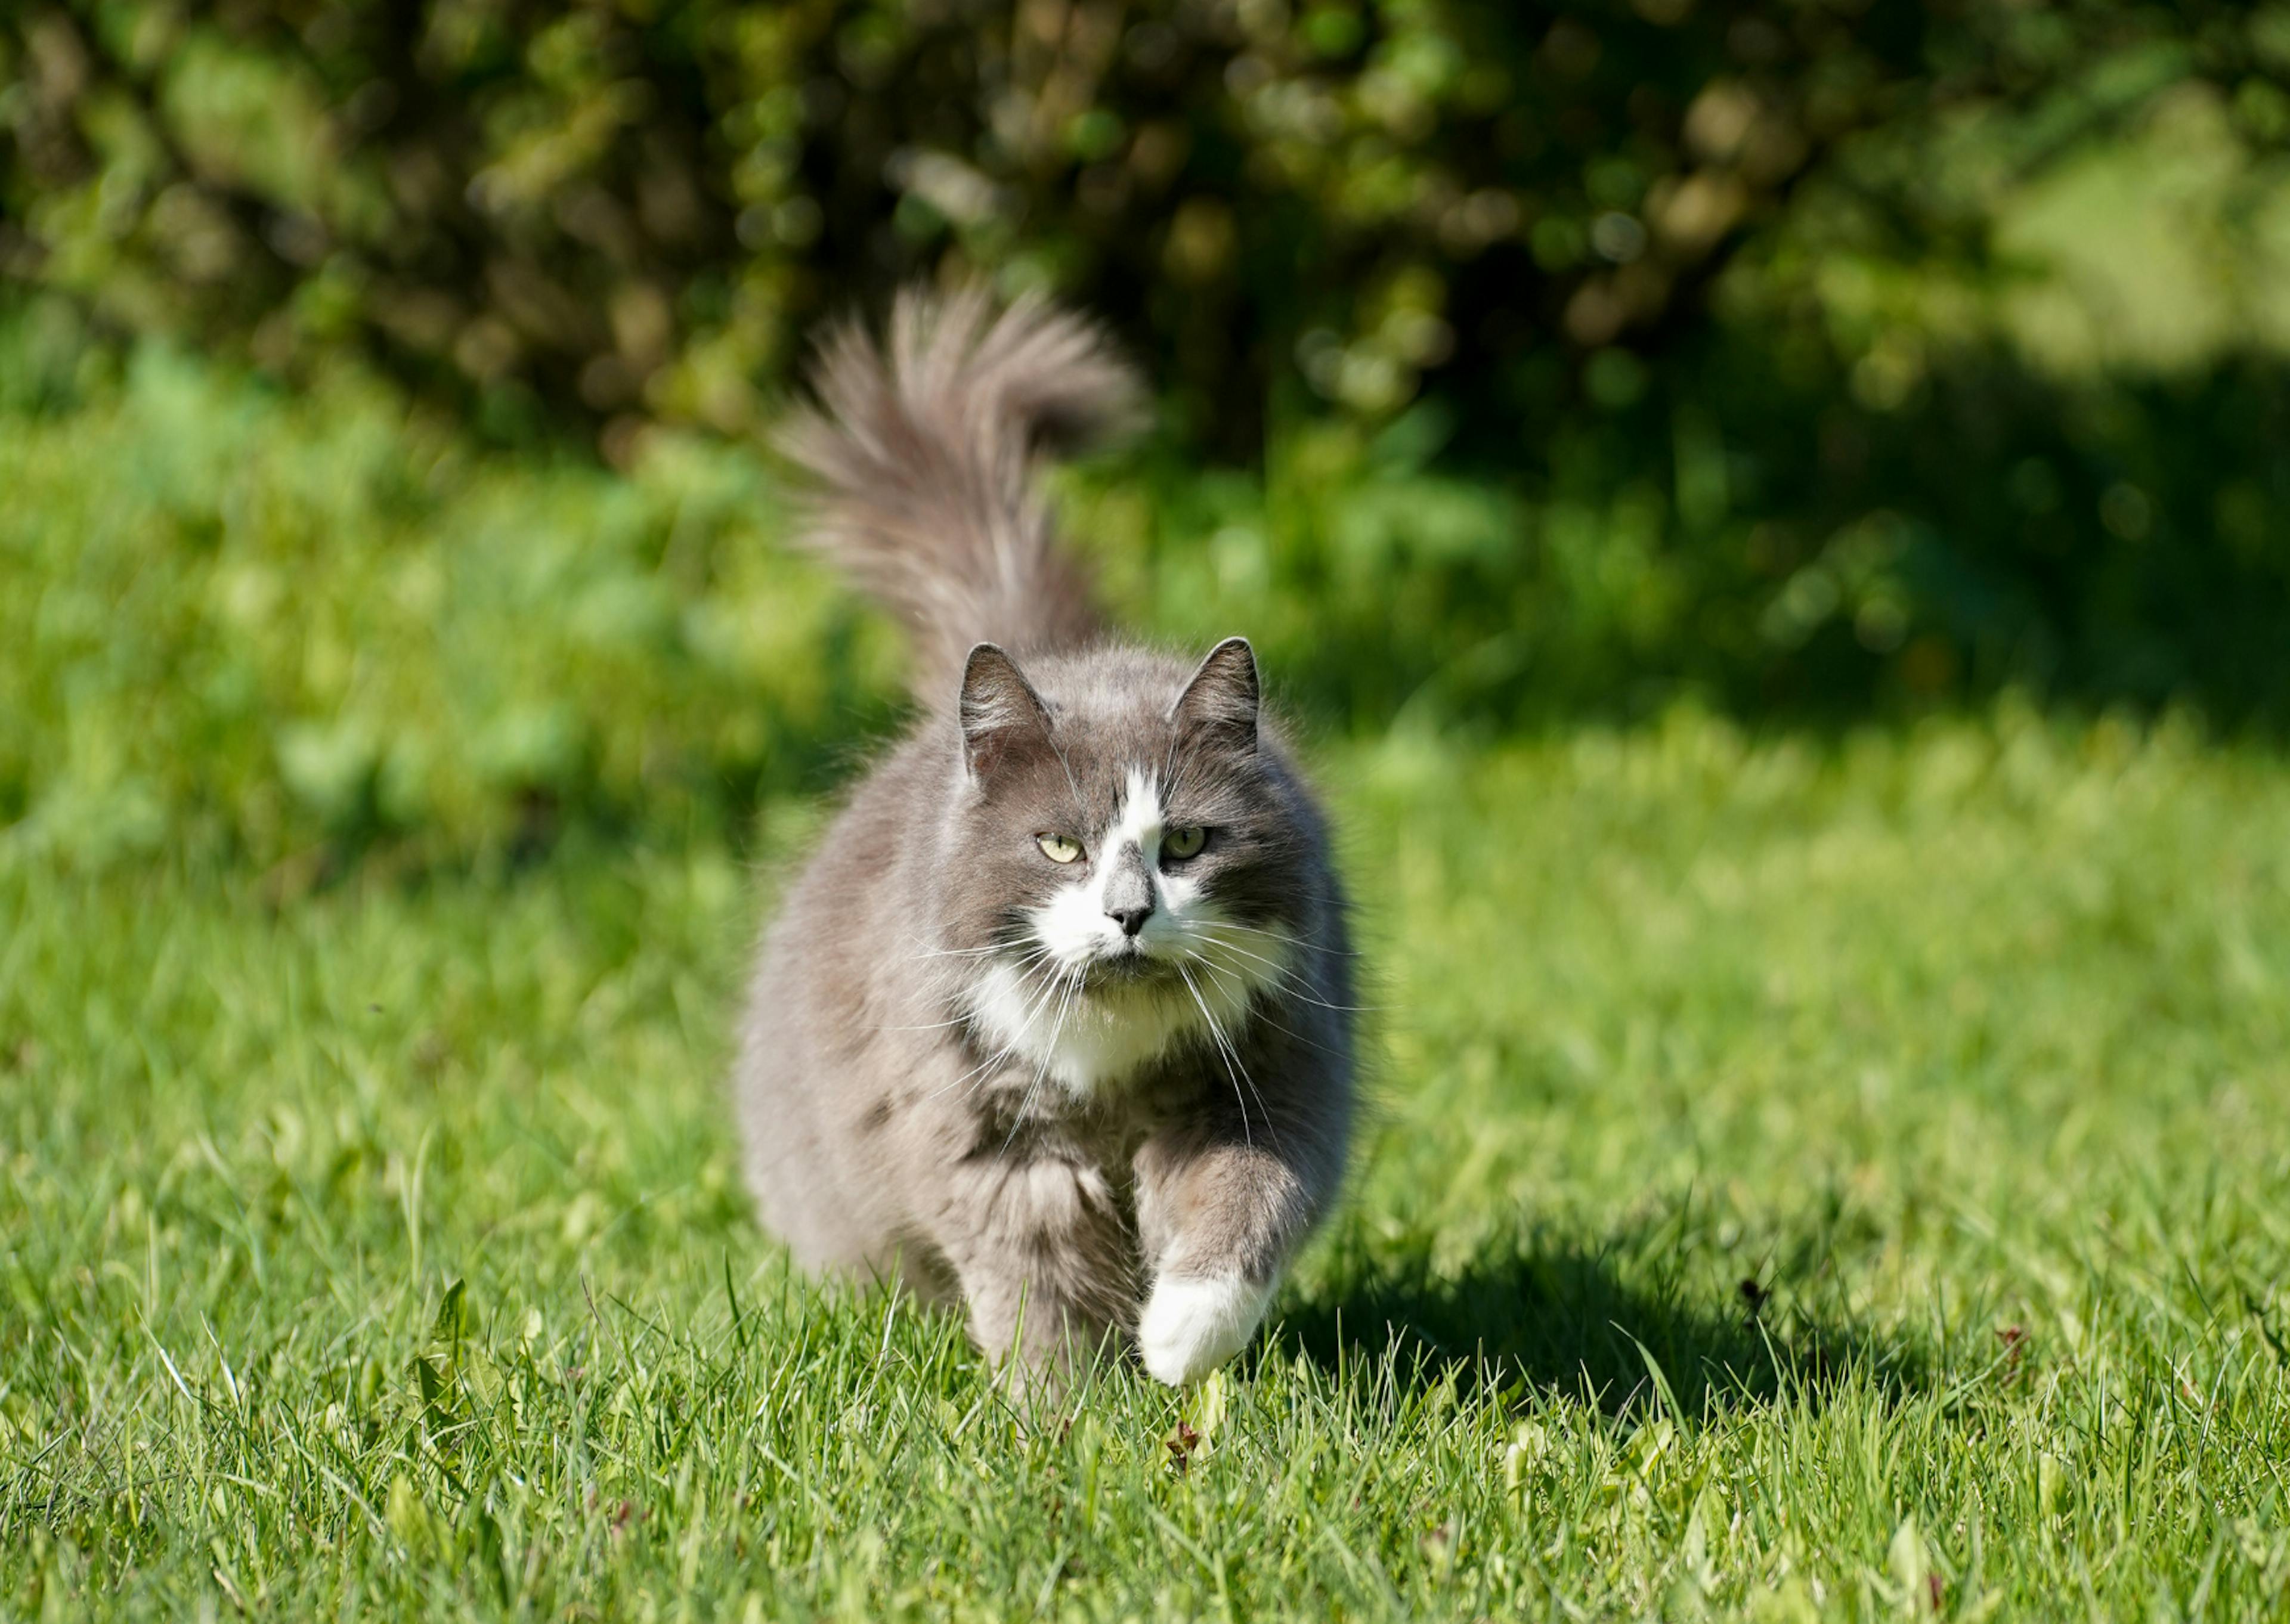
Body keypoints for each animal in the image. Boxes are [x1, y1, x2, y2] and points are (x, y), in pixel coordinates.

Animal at [732, 289, 1346, 1392]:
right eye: (1061, 847)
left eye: (1187, 842)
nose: (1131, 913)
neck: (1114, 1065)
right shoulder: (994, 1147)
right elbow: (1040, 1298)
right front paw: (1069, 1414)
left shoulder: (1270, 1082)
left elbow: (1240, 1209)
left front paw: (1174, 1344)